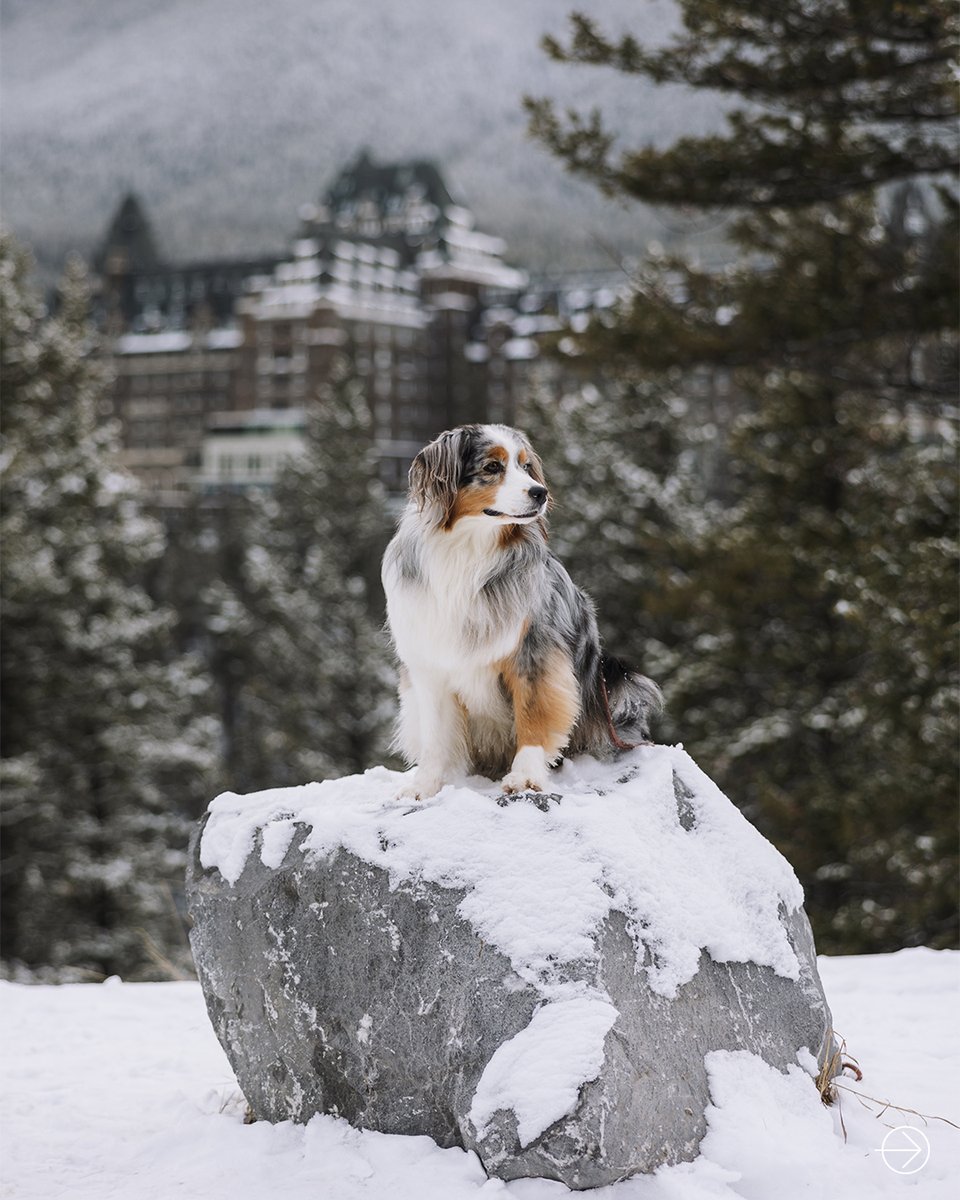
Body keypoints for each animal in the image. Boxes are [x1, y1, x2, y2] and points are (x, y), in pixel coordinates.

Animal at [379, 422, 662, 796]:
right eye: (492, 467)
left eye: (526, 466)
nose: (541, 493)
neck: (469, 549)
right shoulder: (431, 658)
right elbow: (436, 734)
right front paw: (424, 785)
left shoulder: (535, 650)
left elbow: (534, 713)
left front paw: (525, 775)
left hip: (618, 680)